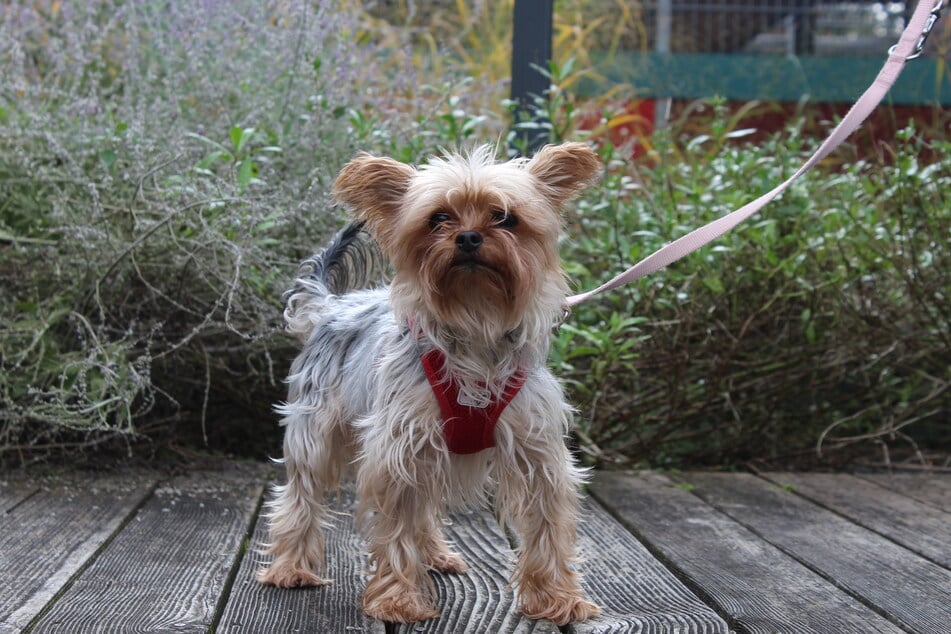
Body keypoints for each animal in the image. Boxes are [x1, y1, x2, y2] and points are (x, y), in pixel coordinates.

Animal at [256, 141, 604, 620]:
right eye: (438, 218)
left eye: (505, 217)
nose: (469, 237)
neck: (475, 322)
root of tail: (331, 307)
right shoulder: (399, 447)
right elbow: (396, 525)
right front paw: (398, 598)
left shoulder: (536, 452)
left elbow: (546, 525)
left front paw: (558, 597)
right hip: (315, 432)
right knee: (300, 496)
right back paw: (290, 567)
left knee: (423, 509)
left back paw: (436, 554)